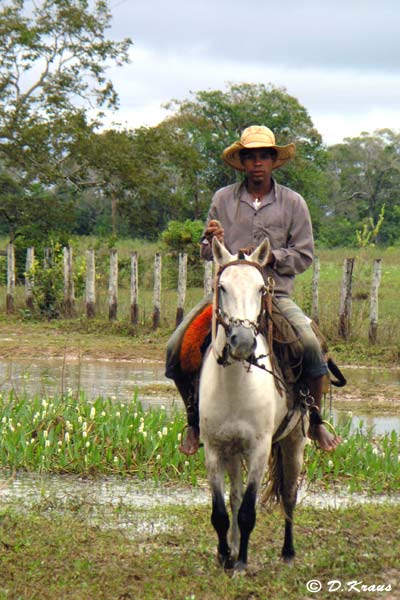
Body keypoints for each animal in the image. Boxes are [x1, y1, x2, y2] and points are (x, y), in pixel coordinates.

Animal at [199, 234, 306, 572]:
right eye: (222, 287)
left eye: (261, 289)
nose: (243, 343)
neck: (235, 387)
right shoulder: (214, 449)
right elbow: (221, 511)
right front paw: (225, 556)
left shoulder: (259, 449)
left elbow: (248, 510)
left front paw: (242, 563)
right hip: (233, 451)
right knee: (234, 496)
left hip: (294, 442)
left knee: (289, 495)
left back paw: (288, 552)